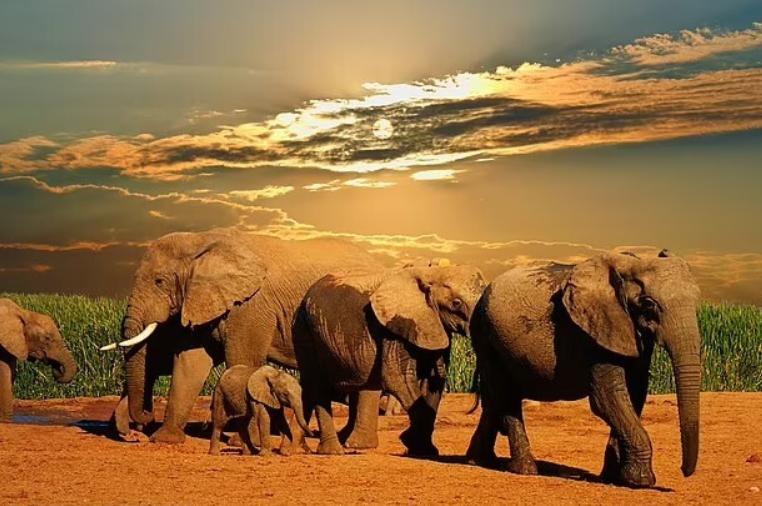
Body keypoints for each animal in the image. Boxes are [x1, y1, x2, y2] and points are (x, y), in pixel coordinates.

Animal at [108, 228, 381, 444]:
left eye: (159, 281)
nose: (139, 429)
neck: (201, 240)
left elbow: (242, 360)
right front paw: (165, 440)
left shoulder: (252, 305)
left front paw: (241, 442)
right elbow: (190, 363)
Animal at [298, 264, 485, 456]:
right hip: (305, 329)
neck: (432, 272)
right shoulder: (394, 326)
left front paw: (422, 448)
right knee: (317, 386)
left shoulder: (433, 324)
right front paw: (411, 442)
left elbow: (435, 379)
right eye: (456, 303)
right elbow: (397, 378)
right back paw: (333, 451)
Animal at [466, 250, 701, 488]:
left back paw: (479, 460)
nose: (684, 471)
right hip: (487, 336)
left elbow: (635, 393)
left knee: (495, 400)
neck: (629, 264)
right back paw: (524, 470)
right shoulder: (595, 330)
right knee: (505, 396)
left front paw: (613, 477)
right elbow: (606, 398)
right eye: (649, 304)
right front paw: (640, 481)